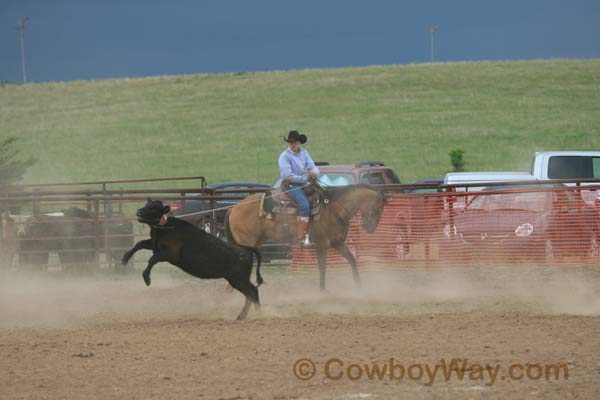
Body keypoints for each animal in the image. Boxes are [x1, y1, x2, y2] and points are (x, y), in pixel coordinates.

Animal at [121, 198, 262, 320]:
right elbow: (139, 244)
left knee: (253, 292)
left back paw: (256, 314)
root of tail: (245, 251)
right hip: (236, 280)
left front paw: (147, 279)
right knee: (250, 294)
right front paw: (124, 259)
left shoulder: (170, 254)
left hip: (238, 279)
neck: (166, 227)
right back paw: (244, 316)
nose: (138, 212)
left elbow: (152, 259)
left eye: (153, 207)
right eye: (146, 204)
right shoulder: (155, 245)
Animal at [224, 184, 384, 290]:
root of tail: (234, 207)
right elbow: (322, 268)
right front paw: (323, 291)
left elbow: (352, 260)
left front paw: (359, 286)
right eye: (377, 208)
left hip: (255, 242)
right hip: (245, 243)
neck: (334, 209)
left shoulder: (337, 243)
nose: (370, 228)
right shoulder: (322, 245)